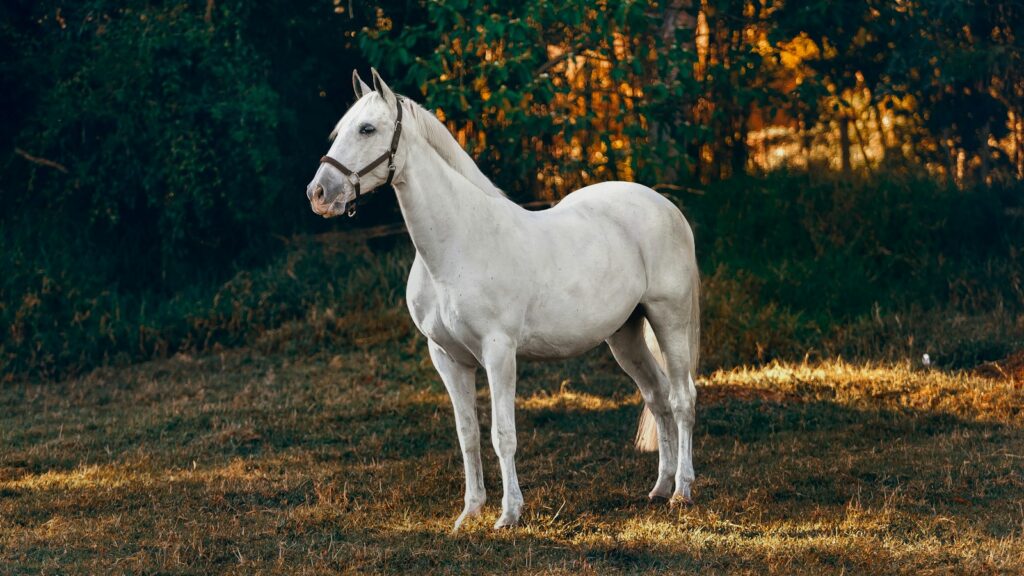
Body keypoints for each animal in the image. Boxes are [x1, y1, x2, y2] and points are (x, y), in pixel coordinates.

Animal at [306, 69, 700, 531]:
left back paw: (681, 491)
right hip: (625, 335)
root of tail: (666, 206)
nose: (318, 193)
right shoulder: (447, 357)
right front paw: (470, 512)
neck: (458, 243)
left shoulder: (499, 352)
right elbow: (468, 435)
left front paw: (508, 514)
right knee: (657, 396)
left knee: (682, 398)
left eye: (367, 129)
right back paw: (659, 487)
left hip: (668, 319)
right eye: (340, 131)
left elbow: (502, 435)